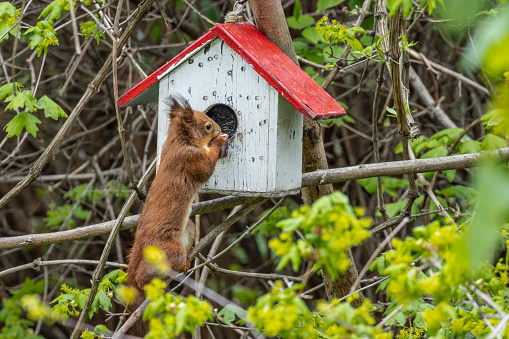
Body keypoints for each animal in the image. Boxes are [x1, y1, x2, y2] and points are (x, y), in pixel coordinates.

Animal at [126, 95, 227, 332]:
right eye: (207, 126)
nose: (219, 129)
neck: (178, 141)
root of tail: (140, 245)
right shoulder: (190, 159)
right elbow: (205, 167)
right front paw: (220, 142)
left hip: (188, 231)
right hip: (168, 250)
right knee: (143, 274)